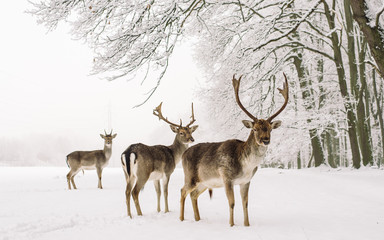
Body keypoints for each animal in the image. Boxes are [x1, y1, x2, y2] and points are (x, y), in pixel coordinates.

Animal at [180, 74, 288, 226]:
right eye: (255, 129)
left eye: (270, 129)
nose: (265, 140)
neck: (246, 166)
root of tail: (183, 154)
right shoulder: (227, 177)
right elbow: (232, 203)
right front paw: (231, 225)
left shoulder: (246, 181)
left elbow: (245, 203)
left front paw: (247, 224)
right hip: (190, 177)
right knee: (182, 191)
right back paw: (181, 218)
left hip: (204, 182)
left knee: (193, 194)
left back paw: (198, 219)